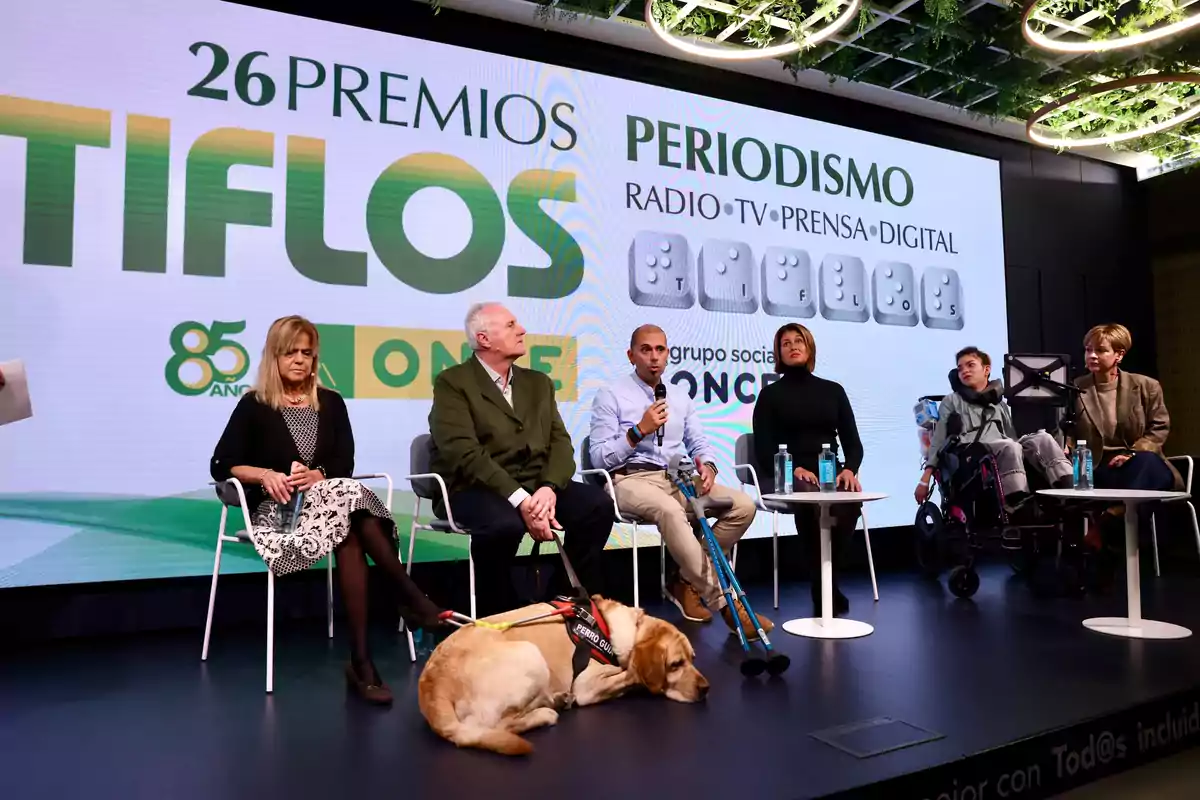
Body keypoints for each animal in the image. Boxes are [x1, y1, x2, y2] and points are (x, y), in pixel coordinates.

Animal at [420, 594, 705, 758]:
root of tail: (431, 688)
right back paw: (547, 711)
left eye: (693, 659)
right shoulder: (587, 686)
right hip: (530, 655)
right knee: (498, 725)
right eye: (676, 664)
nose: (706, 688)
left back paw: (555, 699)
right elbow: (628, 674)